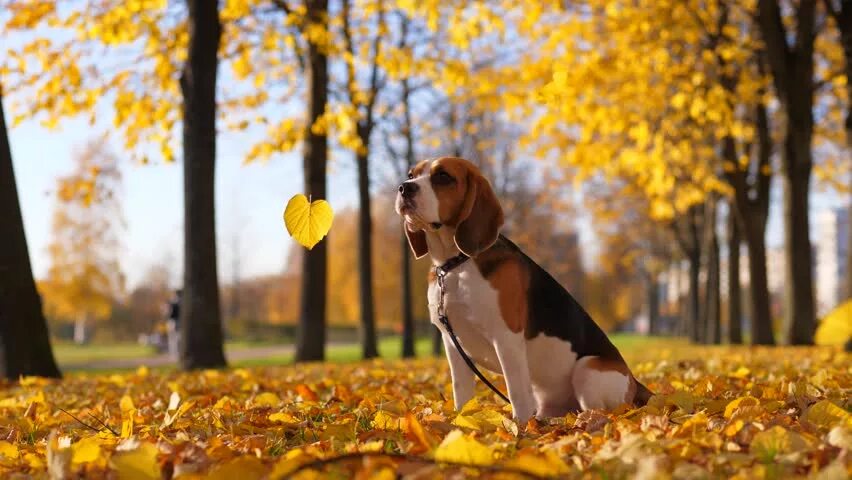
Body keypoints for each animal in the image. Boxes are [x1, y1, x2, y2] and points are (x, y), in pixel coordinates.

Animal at [394, 157, 652, 420]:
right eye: (411, 174)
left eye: (443, 177)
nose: (404, 187)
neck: (455, 265)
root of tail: (635, 383)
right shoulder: (452, 344)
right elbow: (461, 392)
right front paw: (460, 421)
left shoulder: (506, 338)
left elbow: (516, 392)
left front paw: (519, 427)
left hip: (587, 368)